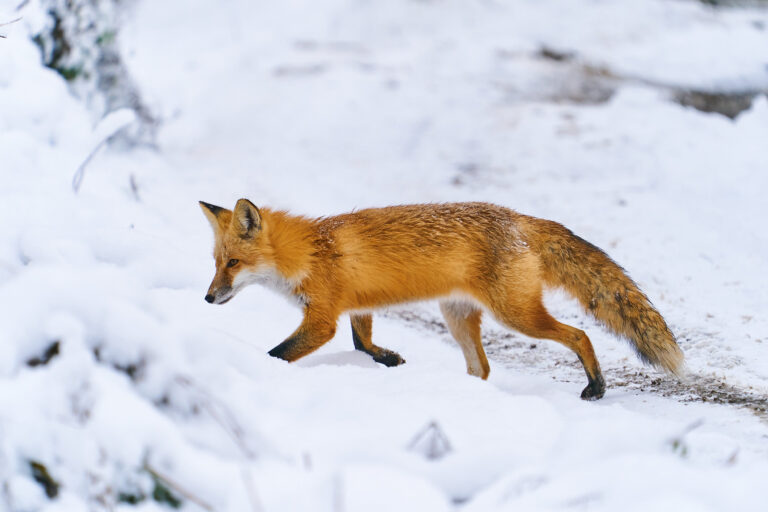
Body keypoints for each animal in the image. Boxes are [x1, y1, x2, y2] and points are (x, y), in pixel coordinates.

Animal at [200, 199, 683, 400]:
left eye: (234, 263)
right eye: (216, 261)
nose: (207, 297)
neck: (309, 252)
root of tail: (519, 218)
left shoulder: (322, 319)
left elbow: (279, 353)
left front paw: (255, 368)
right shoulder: (355, 306)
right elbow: (361, 343)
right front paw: (389, 359)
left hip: (516, 315)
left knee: (580, 335)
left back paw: (596, 387)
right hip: (457, 316)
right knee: (481, 368)